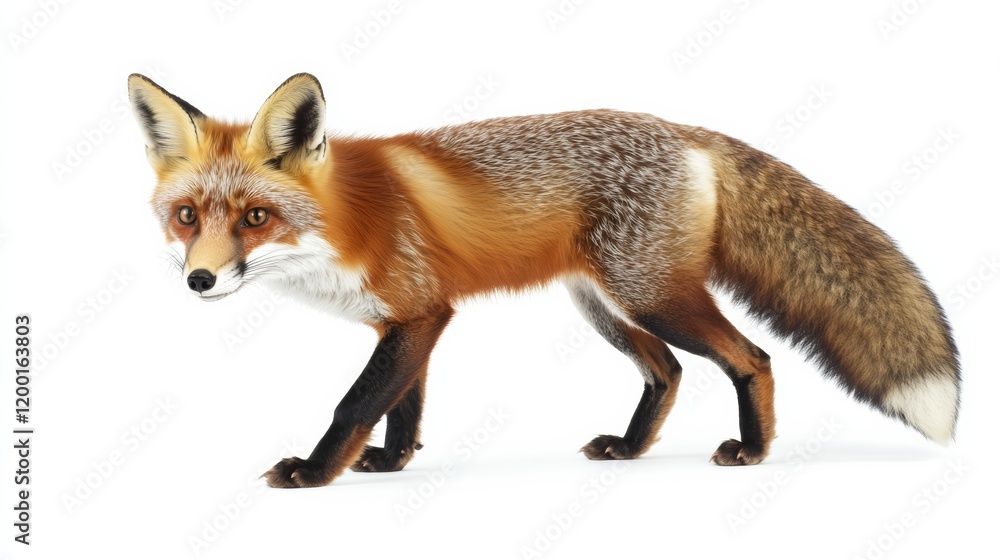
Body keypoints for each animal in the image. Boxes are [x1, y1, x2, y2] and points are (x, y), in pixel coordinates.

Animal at [128, 72, 960, 488]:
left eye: (256, 217)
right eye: (187, 216)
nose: (200, 280)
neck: (344, 220)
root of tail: (683, 130)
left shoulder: (420, 315)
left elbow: (356, 402)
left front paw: (314, 471)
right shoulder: (412, 317)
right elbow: (401, 407)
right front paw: (393, 465)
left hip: (653, 296)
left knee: (750, 358)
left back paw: (753, 453)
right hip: (605, 304)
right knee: (667, 371)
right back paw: (631, 450)